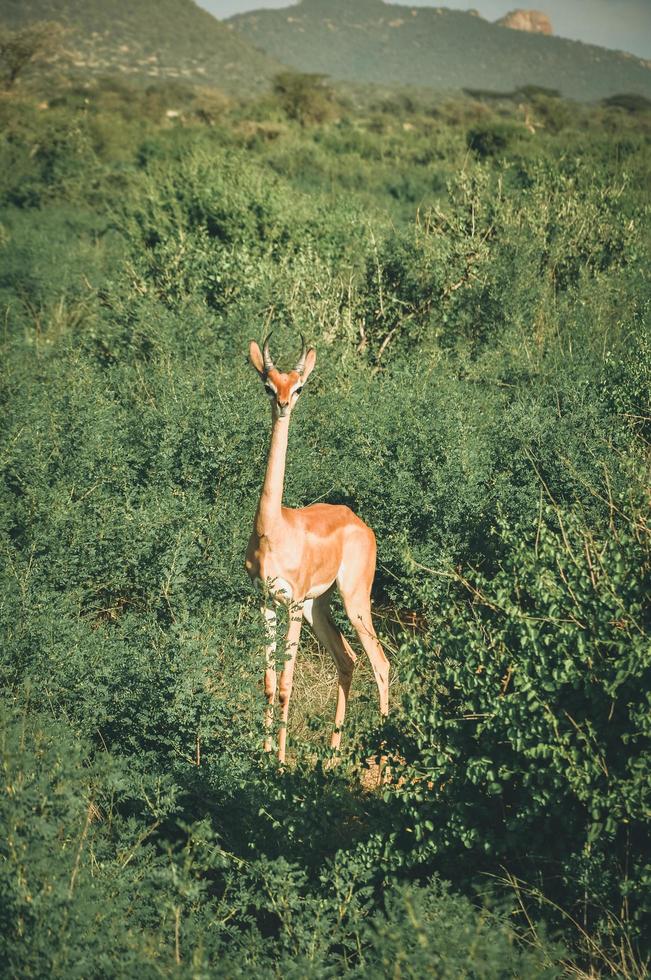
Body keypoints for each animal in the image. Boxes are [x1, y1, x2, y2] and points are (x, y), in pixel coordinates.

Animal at [243, 336, 388, 764]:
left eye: (299, 386)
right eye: (268, 384)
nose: (283, 404)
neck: (273, 531)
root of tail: (360, 524)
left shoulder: (291, 603)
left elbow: (286, 683)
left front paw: (279, 762)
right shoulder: (266, 601)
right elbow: (268, 681)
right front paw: (263, 753)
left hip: (353, 601)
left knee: (381, 664)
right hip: (318, 607)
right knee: (348, 659)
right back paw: (333, 754)